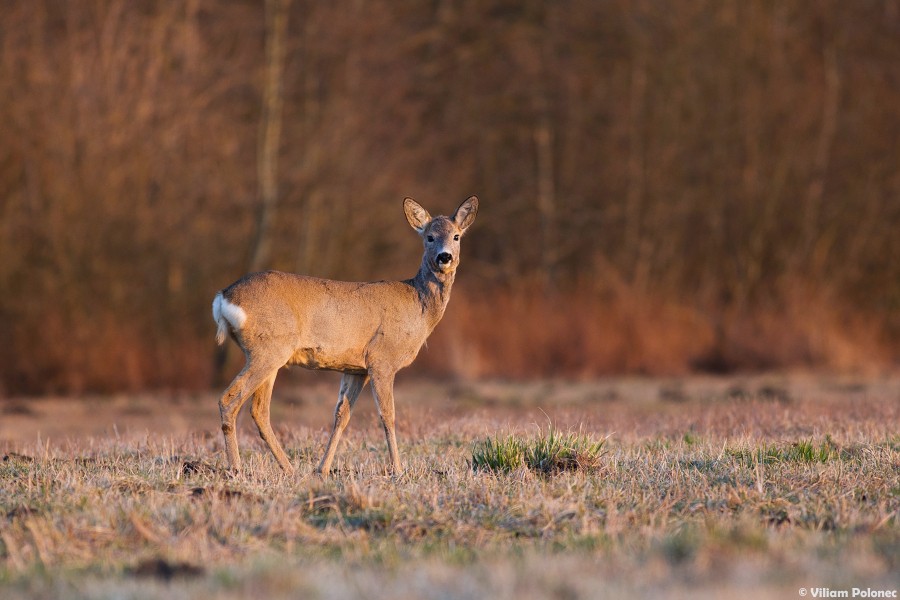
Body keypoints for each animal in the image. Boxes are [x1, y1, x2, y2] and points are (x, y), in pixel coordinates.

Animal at [211, 197, 478, 478]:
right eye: (429, 237)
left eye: (456, 236)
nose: (444, 257)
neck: (419, 307)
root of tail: (224, 296)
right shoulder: (382, 359)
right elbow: (387, 415)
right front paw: (398, 469)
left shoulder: (356, 368)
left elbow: (342, 415)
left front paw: (323, 468)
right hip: (267, 348)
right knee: (229, 399)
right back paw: (236, 469)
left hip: (270, 354)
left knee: (259, 410)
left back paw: (289, 469)